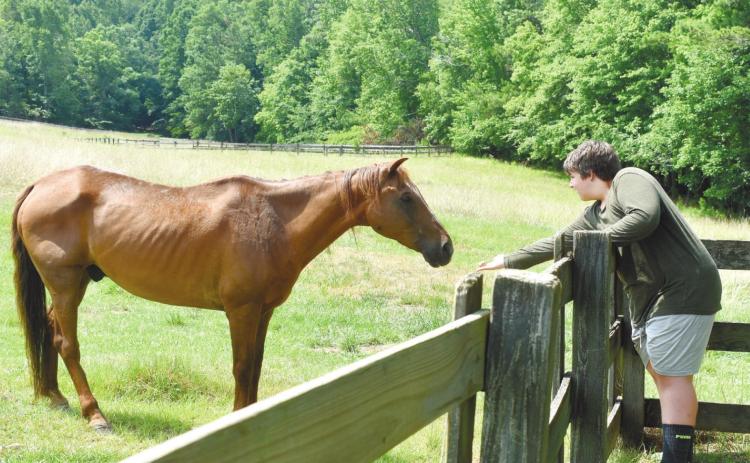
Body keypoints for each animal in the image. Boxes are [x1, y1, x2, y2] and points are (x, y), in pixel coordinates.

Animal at [11, 158, 452, 431]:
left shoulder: (263, 312)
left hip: (72, 286)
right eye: (406, 198)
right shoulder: (241, 311)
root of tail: (41, 185)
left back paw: (54, 396)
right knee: (68, 345)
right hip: (66, 285)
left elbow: (255, 366)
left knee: (49, 333)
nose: (445, 247)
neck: (274, 222)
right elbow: (242, 368)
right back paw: (95, 415)